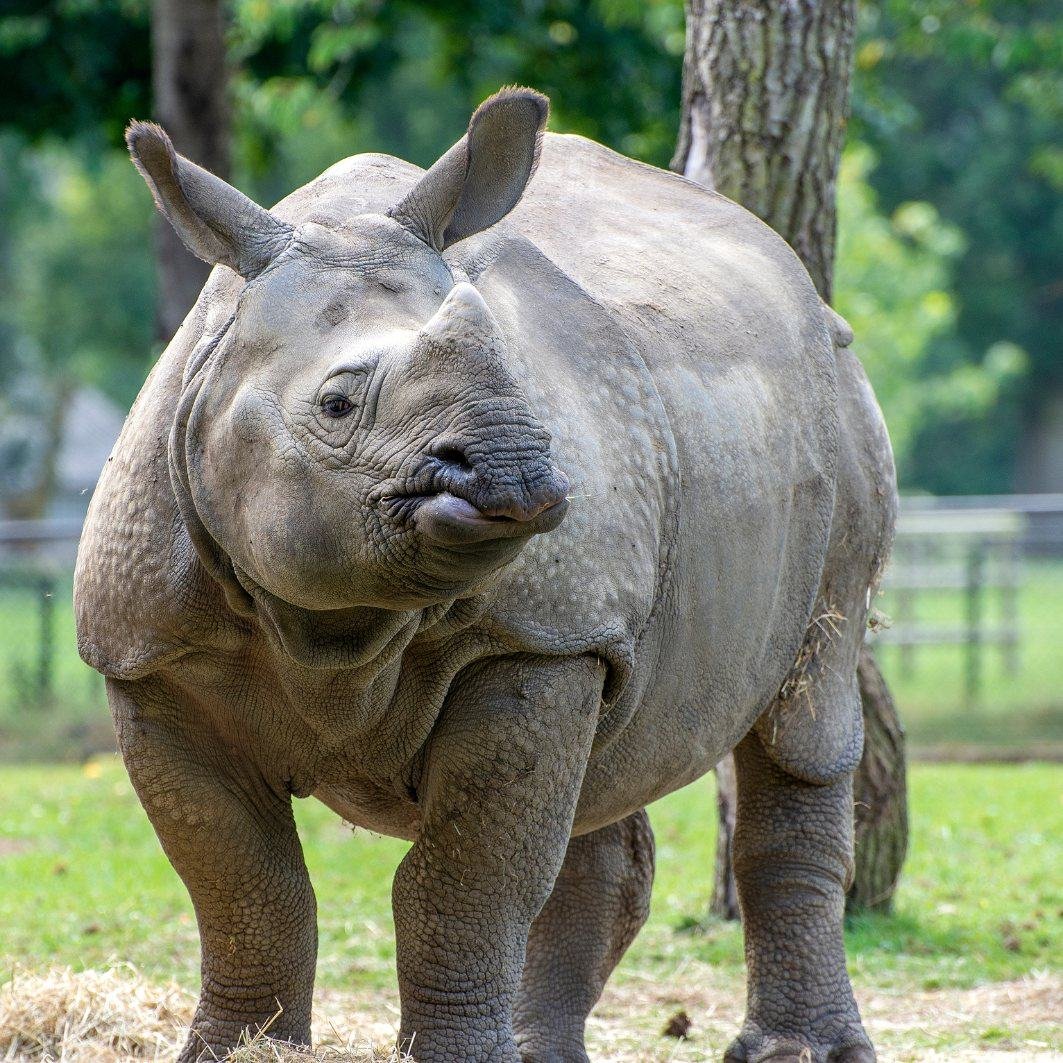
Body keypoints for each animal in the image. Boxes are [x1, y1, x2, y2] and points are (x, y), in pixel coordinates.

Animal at [74, 87, 895, 1063]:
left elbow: (462, 879)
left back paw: (798, 1049)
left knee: (804, 717)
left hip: (840, 408)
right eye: (336, 404)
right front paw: (239, 1048)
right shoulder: (152, 654)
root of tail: (796, 280)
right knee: (606, 770)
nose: (513, 468)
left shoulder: (537, 636)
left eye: (516, 373)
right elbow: (243, 881)